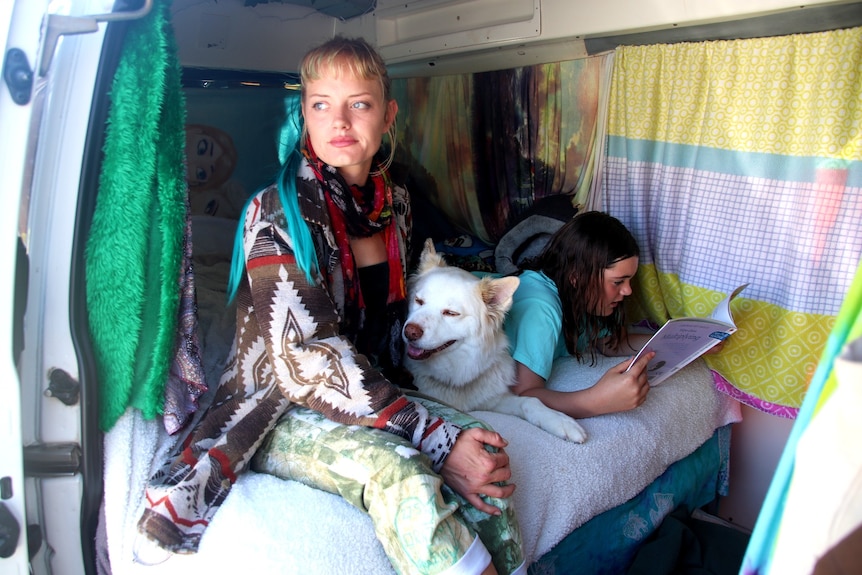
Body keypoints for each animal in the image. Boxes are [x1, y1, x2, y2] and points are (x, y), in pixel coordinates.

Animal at [404, 238, 588, 446]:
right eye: (419, 301)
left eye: (451, 313)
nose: (410, 332)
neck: (456, 374)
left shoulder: (494, 398)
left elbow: (530, 401)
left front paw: (561, 421)